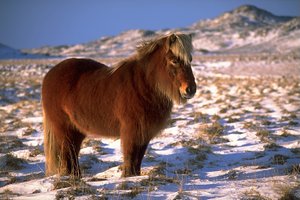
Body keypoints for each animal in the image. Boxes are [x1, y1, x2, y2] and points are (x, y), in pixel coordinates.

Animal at [42, 32, 197, 178]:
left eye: (190, 60)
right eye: (174, 60)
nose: (190, 89)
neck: (143, 85)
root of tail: (50, 74)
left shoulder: (144, 133)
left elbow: (138, 159)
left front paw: (134, 177)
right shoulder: (131, 131)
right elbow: (130, 157)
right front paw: (128, 177)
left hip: (76, 130)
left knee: (73, 153)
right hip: (64, 129)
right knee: (67, 154)